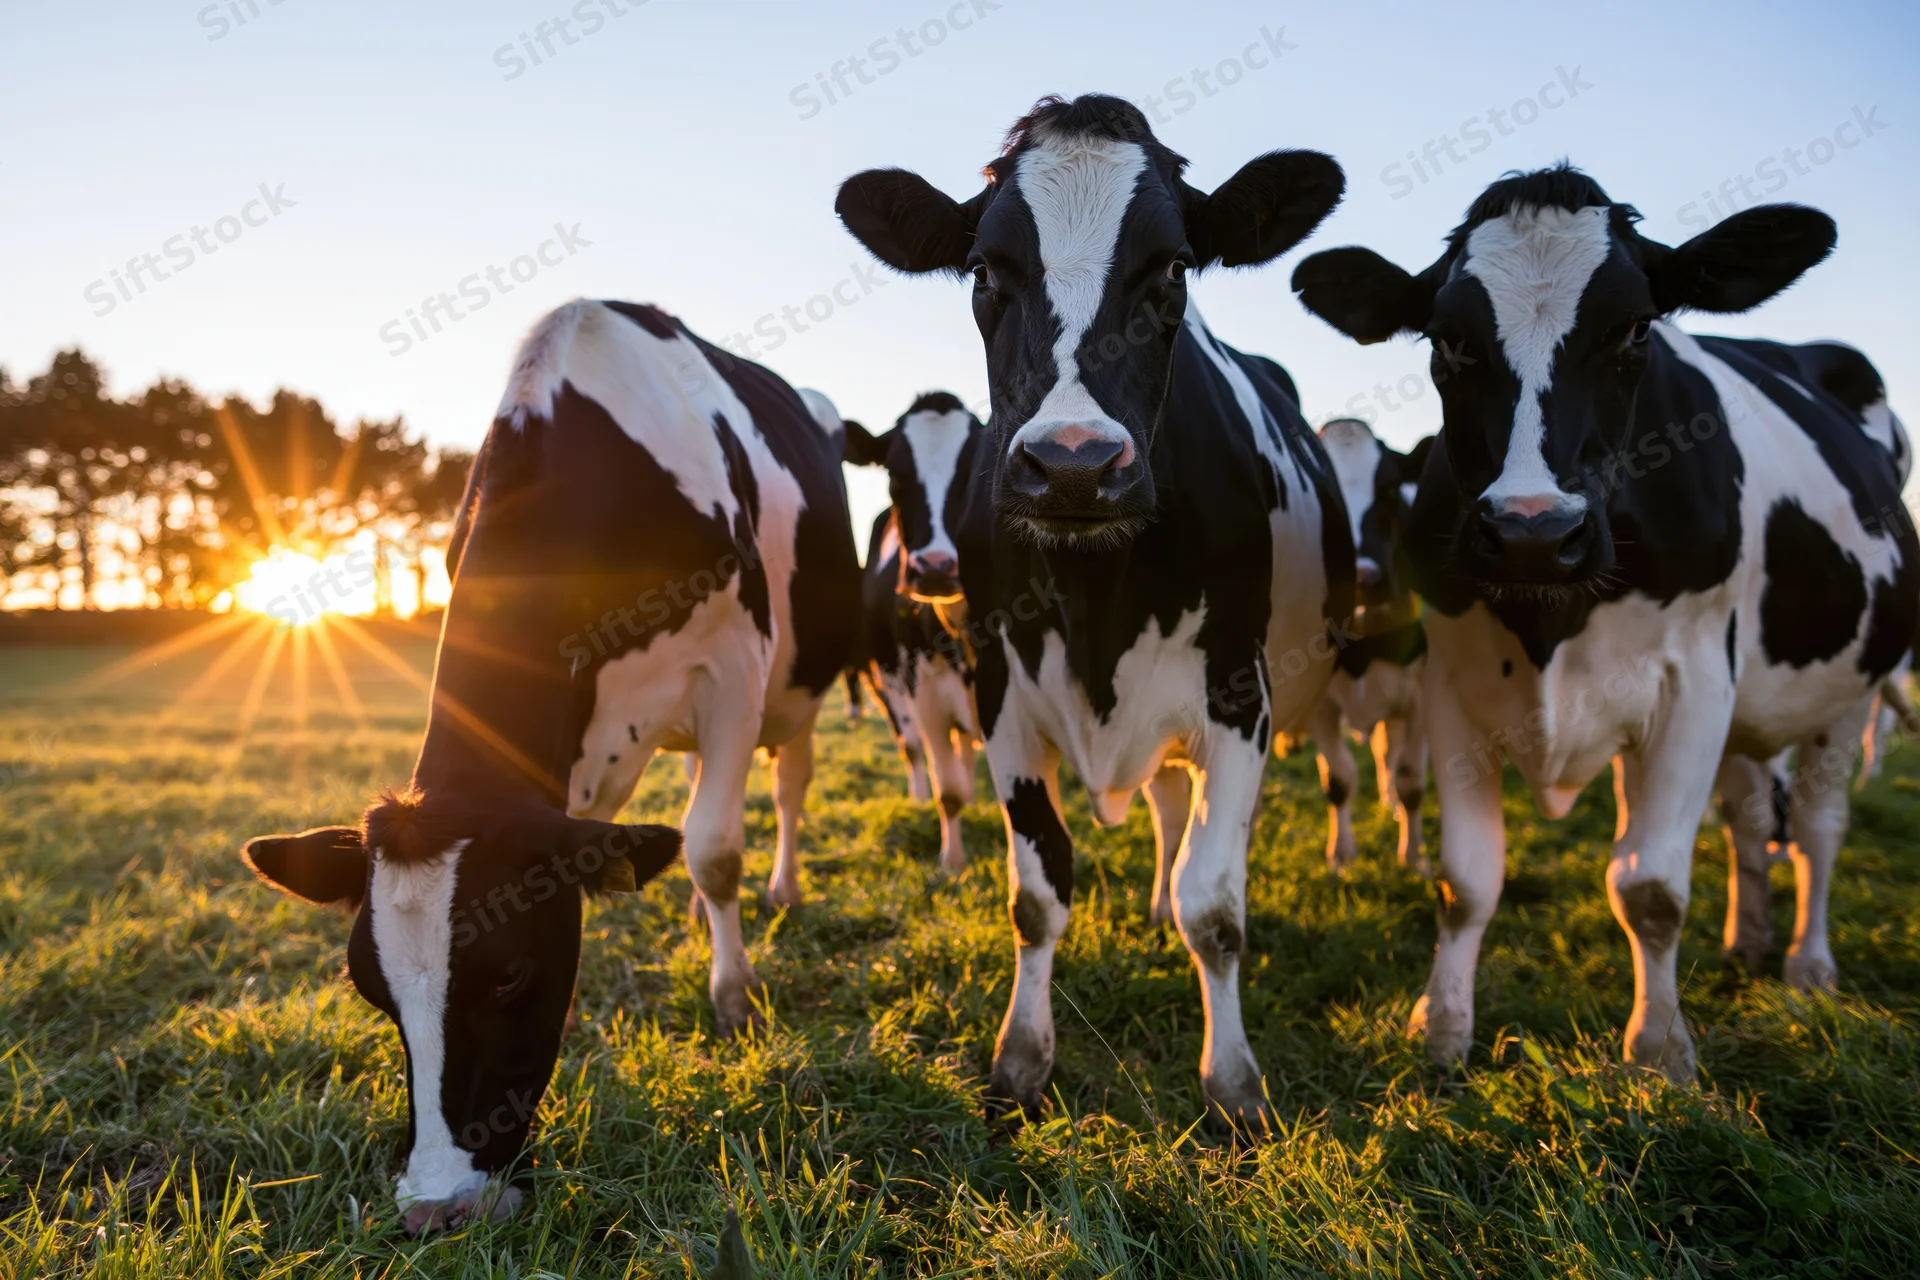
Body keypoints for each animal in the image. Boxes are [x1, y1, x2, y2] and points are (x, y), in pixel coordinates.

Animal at [237, 298, 862, 1231]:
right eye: (371, 990)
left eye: (510, 977)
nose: (438, 1205)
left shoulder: (734, 671)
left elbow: (716, 848)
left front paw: (734, 998)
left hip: (801, 685)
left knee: (784, 785)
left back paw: (778, 891)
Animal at [846, 391, 988, 871]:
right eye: (894, 472)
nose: (936, 568)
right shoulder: (925, 695)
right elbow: (950, 792)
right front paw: (953, 861)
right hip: (885, 678)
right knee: (909, 745)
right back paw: (920, 797)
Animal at [1303, 418, 1434, 874]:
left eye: (1391, 490)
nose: (1364, 576)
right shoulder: (1320, 704)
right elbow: (1338, 779)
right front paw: (1340, 853)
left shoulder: (1420, 698)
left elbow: (1411, 779)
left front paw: (1413, 856)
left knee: (1387, 755)